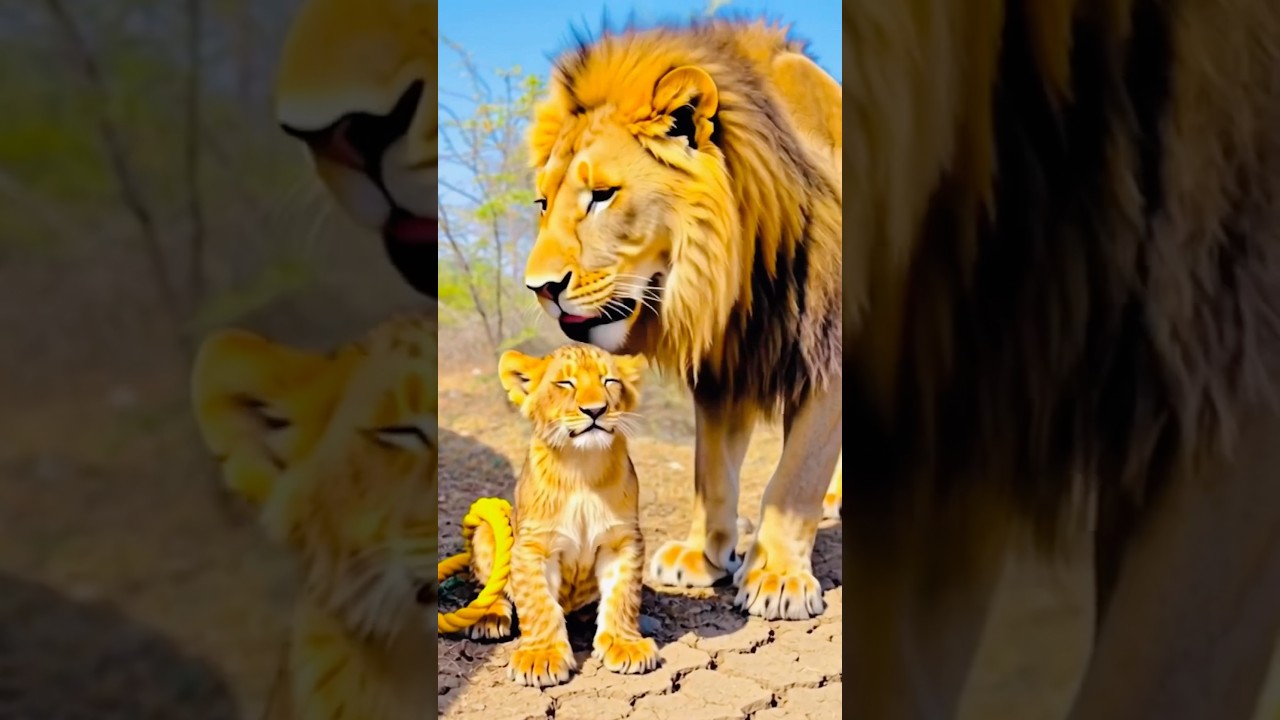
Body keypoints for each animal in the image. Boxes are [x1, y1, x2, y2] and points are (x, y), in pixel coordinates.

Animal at [462, 344, 659, 688]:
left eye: (609, 380)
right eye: (565, 383)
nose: (595, 410)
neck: (582, 467)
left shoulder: (622, 540)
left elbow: (623, 595)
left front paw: (625, 644)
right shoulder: (533, 545)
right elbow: (538, 601)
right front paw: (541, 657)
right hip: (489, 527)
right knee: (490, 587)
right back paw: (489, 617)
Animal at [521, 19, 844, 622]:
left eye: (603, 195)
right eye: (543, 202)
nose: (540, 289)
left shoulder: (827, 351)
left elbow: (796, 476)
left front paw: (776, 575)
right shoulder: (726, 362)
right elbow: (710, 470)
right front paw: (703, 557)